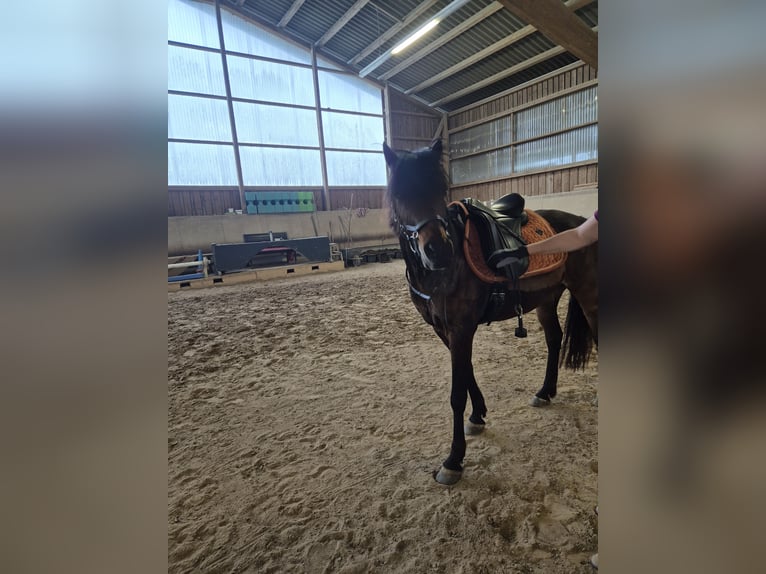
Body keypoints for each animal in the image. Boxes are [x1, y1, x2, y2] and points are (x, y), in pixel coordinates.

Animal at [383, 139, 598, 485]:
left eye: (439, 188)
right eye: (400, 192)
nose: (437, 251)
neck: (446, 269)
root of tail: (583, 223)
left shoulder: (461, 328)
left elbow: (457, 393)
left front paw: (454, 460)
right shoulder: (444, 329)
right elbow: (467, 373)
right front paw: (478, 415)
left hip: (588, 295)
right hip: (546, 300)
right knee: (554, 339)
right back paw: (545, 392)